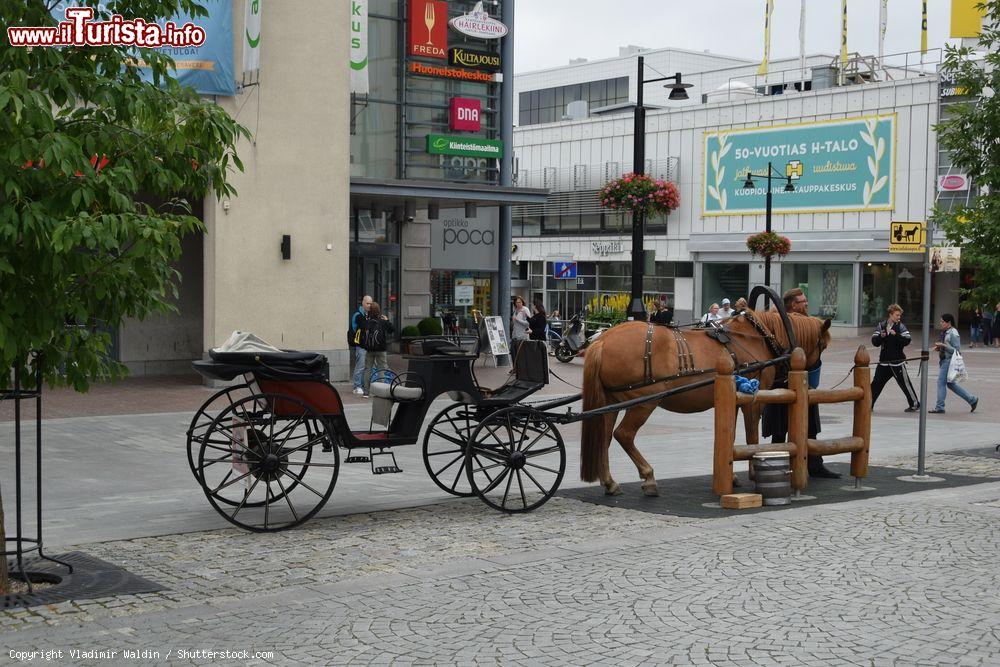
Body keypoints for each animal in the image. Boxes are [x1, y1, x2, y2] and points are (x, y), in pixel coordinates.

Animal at [580, 312, 828, 496]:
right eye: (823, 345)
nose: (815, 376)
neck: (754, 337)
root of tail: (602, 340)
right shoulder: (752, 400)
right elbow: (751, 437)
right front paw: (753, 471)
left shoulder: (733, 400)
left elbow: (731, 436)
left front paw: (731, 474)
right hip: (644, 403)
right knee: (624, 435)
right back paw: (648, 476)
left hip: (610, 403)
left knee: (603, 437)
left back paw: (610, 482)